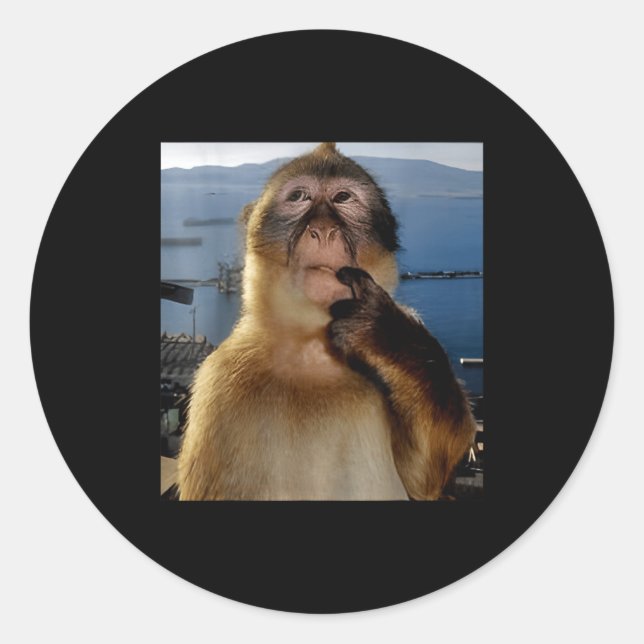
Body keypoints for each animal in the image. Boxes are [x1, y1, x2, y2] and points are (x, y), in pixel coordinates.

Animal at [177, 142, 477, 500]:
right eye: (299, 196)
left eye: (343, 197)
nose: (322, 230)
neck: (311, 349)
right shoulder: (218, 385)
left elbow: (424, 478)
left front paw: (386, 334)